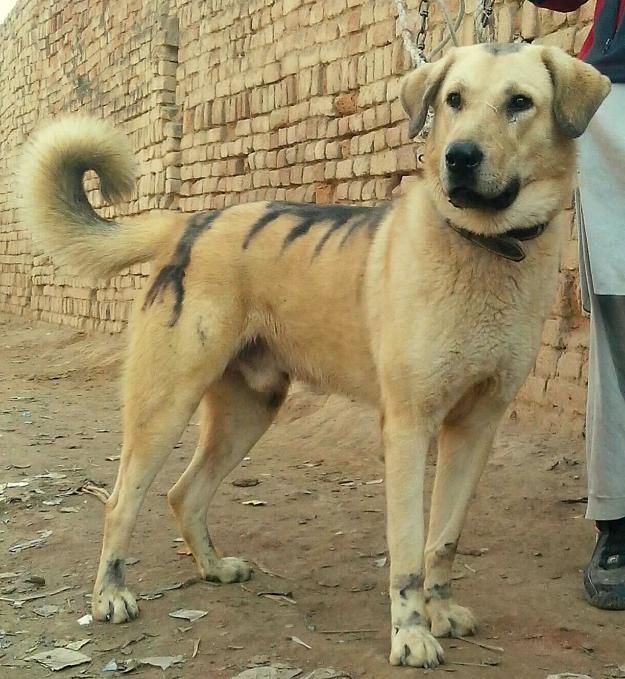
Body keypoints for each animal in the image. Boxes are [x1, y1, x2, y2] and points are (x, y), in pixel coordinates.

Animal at [20, 43, 608, 668]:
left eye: (519, 102)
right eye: (454, 99)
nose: (459, 157)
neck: (482, 245)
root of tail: (188, 223)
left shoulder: (475, 429)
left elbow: (442, 538)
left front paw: (440, 610)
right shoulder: (408, 427)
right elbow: (407, 550)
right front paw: (410, 633)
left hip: (250, 410)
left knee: (184, 493)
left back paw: (212, 567)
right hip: (166, 404)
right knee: (120, 501)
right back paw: (110, 595)